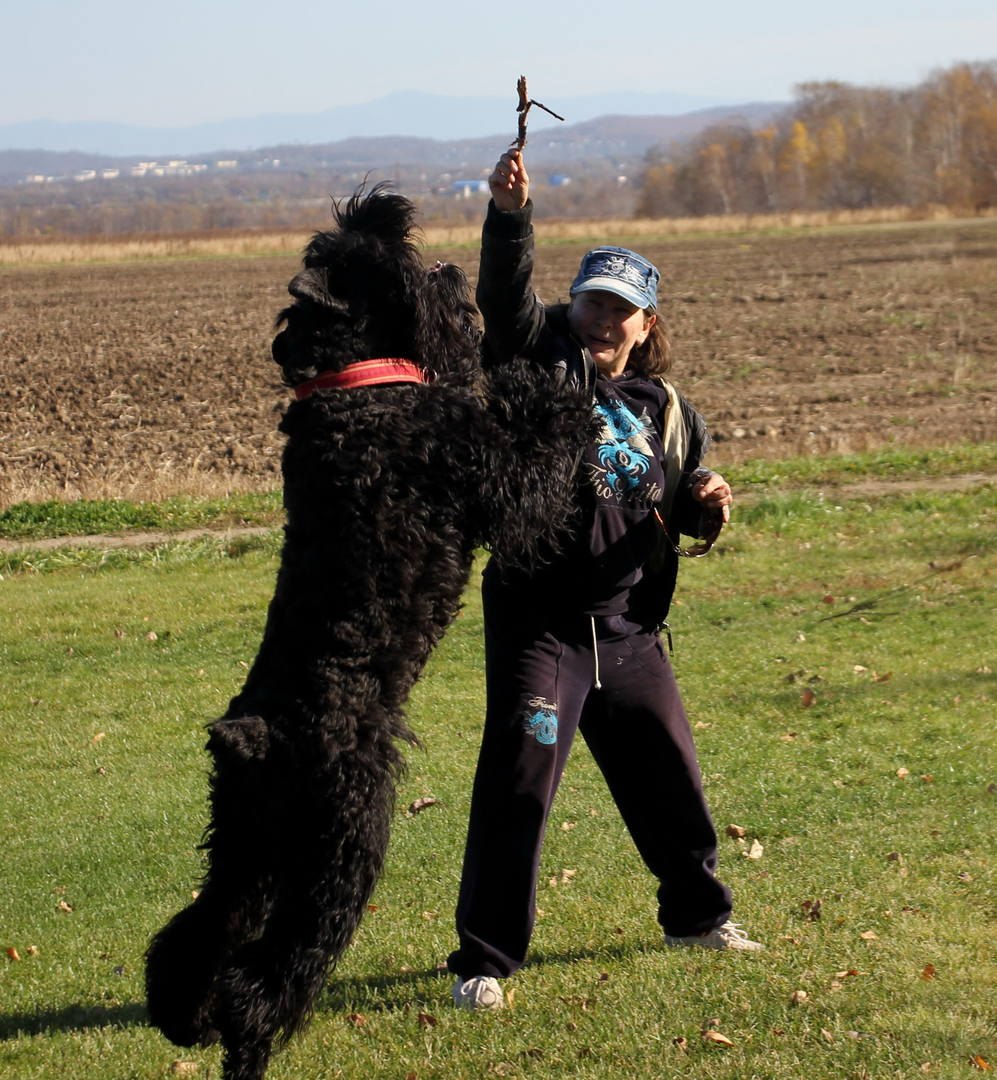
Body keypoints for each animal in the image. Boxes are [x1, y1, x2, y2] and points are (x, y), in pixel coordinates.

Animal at [142, 187, 591, 1080]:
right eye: (378, 260)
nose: (447, 263)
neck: (357, 388)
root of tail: (255, 735)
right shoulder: (497, 483)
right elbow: (533, 459)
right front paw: (545, 384)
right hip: (343, 843)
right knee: (277, 967)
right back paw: (243, 1035)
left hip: (251, 846)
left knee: (201, 930)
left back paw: (183, 1019)